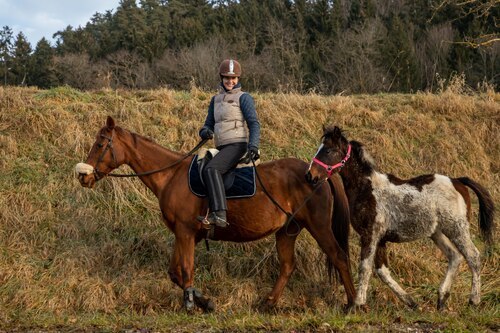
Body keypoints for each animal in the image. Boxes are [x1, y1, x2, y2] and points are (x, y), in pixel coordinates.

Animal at [75, 116, 356, 312]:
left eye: (100, 144)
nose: (83, 177)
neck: (171, 176)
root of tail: (318, 173)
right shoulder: (183, 234)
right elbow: (174, 272)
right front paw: (203, 301)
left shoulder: (186, 232)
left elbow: (186, 269)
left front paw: (191, 304)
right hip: (288, 230)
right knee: (288, 265)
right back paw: (268, 302)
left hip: (319, 226)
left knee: (340, 257)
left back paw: (353, 302)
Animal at [306, 126, 494, 310]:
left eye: (328, 150)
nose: (310, 176)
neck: (366, 189)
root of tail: (458, 182)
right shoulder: (380, 239)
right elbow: (382, 271)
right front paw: (411, 302)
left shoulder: (370, 235)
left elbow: (365, 268)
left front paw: (357, 304)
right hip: (437, 232)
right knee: (455, 256)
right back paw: (441, 299)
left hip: (457, 229)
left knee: (473, 257)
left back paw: (473, 301)